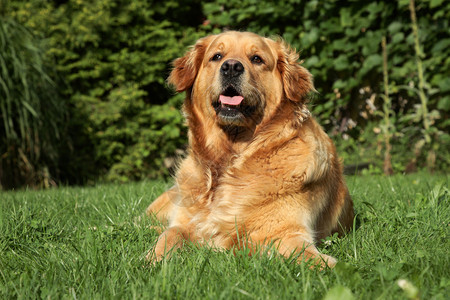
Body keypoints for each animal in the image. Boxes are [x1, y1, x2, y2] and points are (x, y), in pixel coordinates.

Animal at [146, 31, 354, 268]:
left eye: (257, 59)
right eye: (217, 56)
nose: (231, 67)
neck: (230, 158)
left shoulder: (286, 231)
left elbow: (309, 257)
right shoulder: (184, 222)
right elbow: (169, 235)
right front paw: (152, 260)